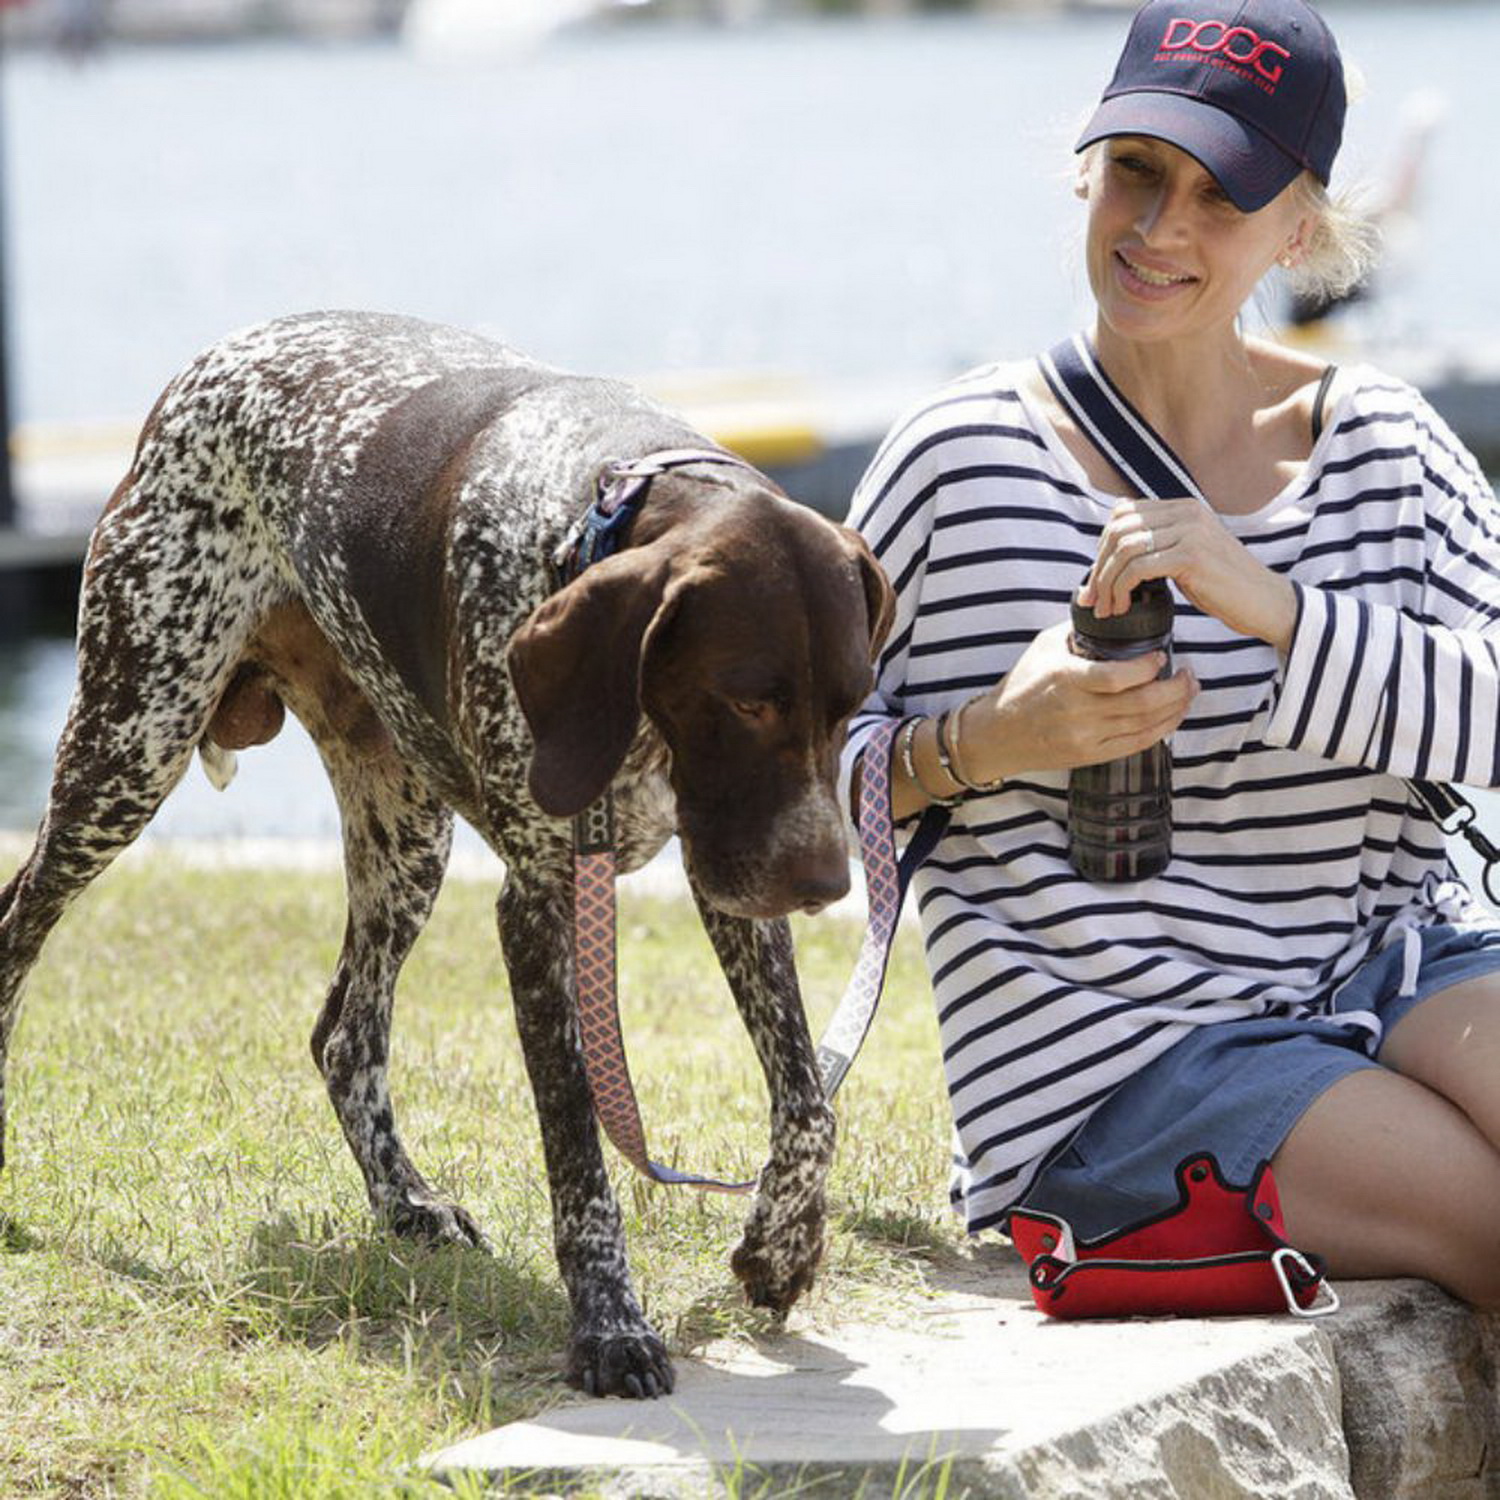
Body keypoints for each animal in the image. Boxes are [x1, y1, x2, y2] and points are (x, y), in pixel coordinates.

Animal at [0, 310, 888, 1398]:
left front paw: (783, 1246)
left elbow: (806, 1101)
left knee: (346, 1036)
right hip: (131, 742)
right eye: (748, 698)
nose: (826, 885)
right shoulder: (544, 907)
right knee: (19, 927)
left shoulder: (727, 880)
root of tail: (219, 354)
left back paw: (406, 1203)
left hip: (406, 835)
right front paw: (610, 1328)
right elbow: (581, 1152)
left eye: (849, 703)